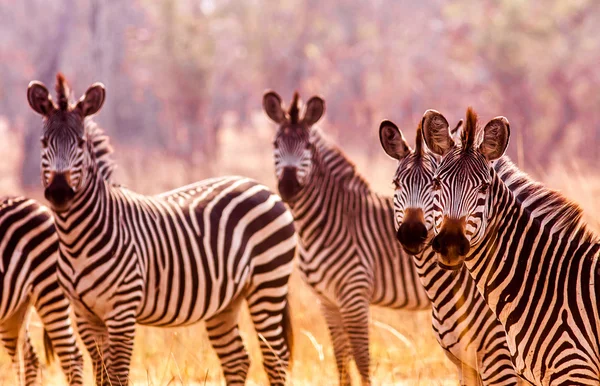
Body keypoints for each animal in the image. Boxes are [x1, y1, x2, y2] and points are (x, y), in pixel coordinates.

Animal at [26, 74, 298, 384]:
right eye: (44, 142)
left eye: (81, 144)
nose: (59, 193)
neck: (76, 238)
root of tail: (261, 185)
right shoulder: (85, 316)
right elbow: (102, 375)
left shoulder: (121, 313)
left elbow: (117, 376)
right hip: (227, 300)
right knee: (237, 360)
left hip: (268, 283)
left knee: (276, 357)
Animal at [264, 91, 432, 386]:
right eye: (275, 144)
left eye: (308, 146)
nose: (288, 186)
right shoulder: (327, 301)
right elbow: (341, 359)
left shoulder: (355, 296)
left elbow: (362, 359)